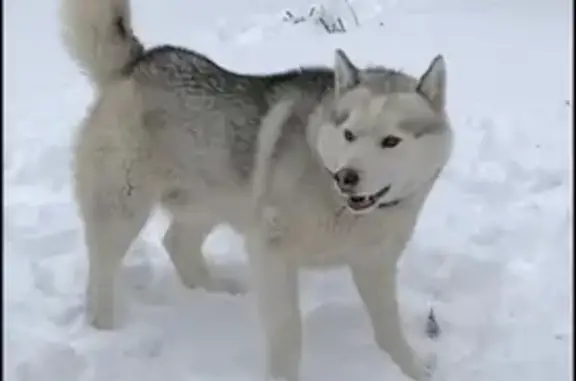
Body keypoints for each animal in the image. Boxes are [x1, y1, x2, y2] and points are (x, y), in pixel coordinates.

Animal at [60, 0, 452, 378]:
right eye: (349, 134)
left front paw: (414, 369)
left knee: (176, 243)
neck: (341, 207)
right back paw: (105, 329)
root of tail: (139, 61)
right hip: (124, 207)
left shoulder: (375, 264)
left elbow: (389, 330)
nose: (347, 176)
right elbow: (288, 333)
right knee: (103, 272)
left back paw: (219, 291)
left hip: (213, 200)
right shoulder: (271, 251)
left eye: (391, 141)